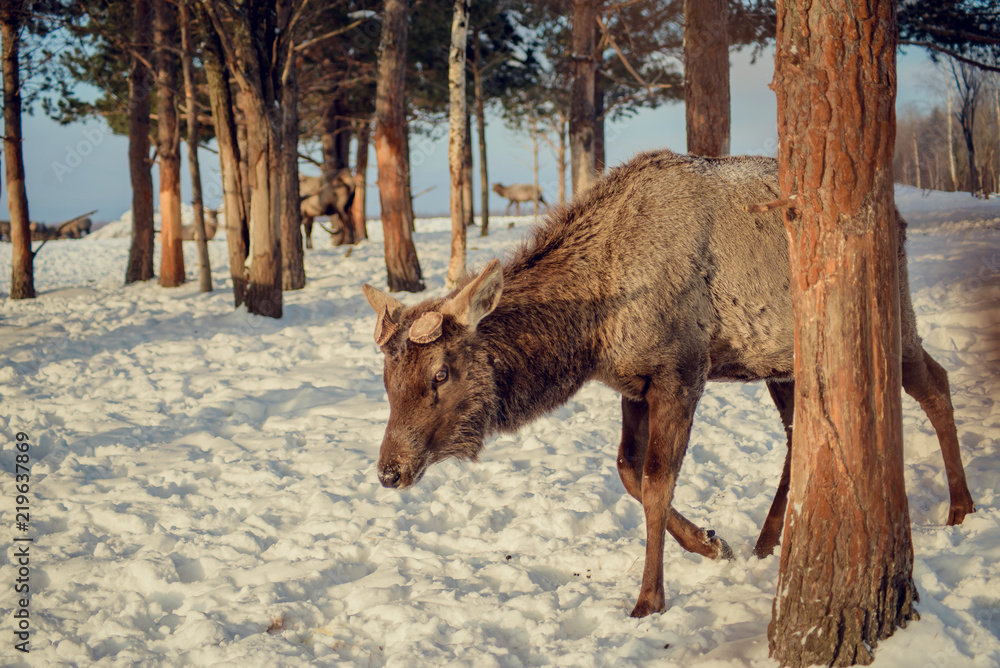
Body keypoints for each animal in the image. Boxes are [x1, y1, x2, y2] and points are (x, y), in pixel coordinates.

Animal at [362, 149, 974, 618]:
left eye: (440, 373)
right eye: (387, 381)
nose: (390, 470)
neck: (592, 327)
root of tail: (898, 219)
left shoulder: (681, 371)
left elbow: (658, 481)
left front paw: (649, 598)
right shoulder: (633, 382)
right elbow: (628, 471)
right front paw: (710, 542)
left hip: (891, 316)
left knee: (936, 383)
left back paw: (961, 508)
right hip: (784, 362)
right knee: (799, 435)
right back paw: (766, 540)